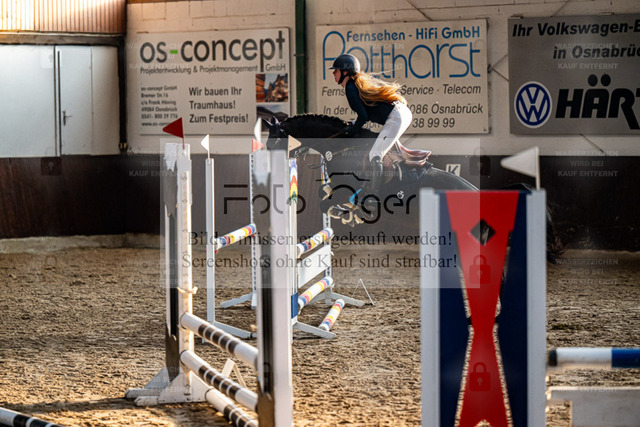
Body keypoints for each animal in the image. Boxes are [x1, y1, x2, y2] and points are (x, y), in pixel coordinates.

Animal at [265, 114, 563, 263]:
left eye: (273, 139)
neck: (341, 145)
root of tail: (479, 195)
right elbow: (322, 197)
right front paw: (347, 215)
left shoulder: (348, 188)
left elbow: (326, 201)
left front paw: (347, 214)